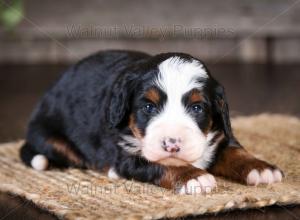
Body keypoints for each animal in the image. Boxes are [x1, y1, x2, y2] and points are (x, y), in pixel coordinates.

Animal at [19, 49, 282, 194]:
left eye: (197, 107)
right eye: (148, 107)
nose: (173, 143)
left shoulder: (219, 132)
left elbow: (234, 151)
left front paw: (260, 168)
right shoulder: (124, 151)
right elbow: (160, 162)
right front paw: (193, 176)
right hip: (49, 135)